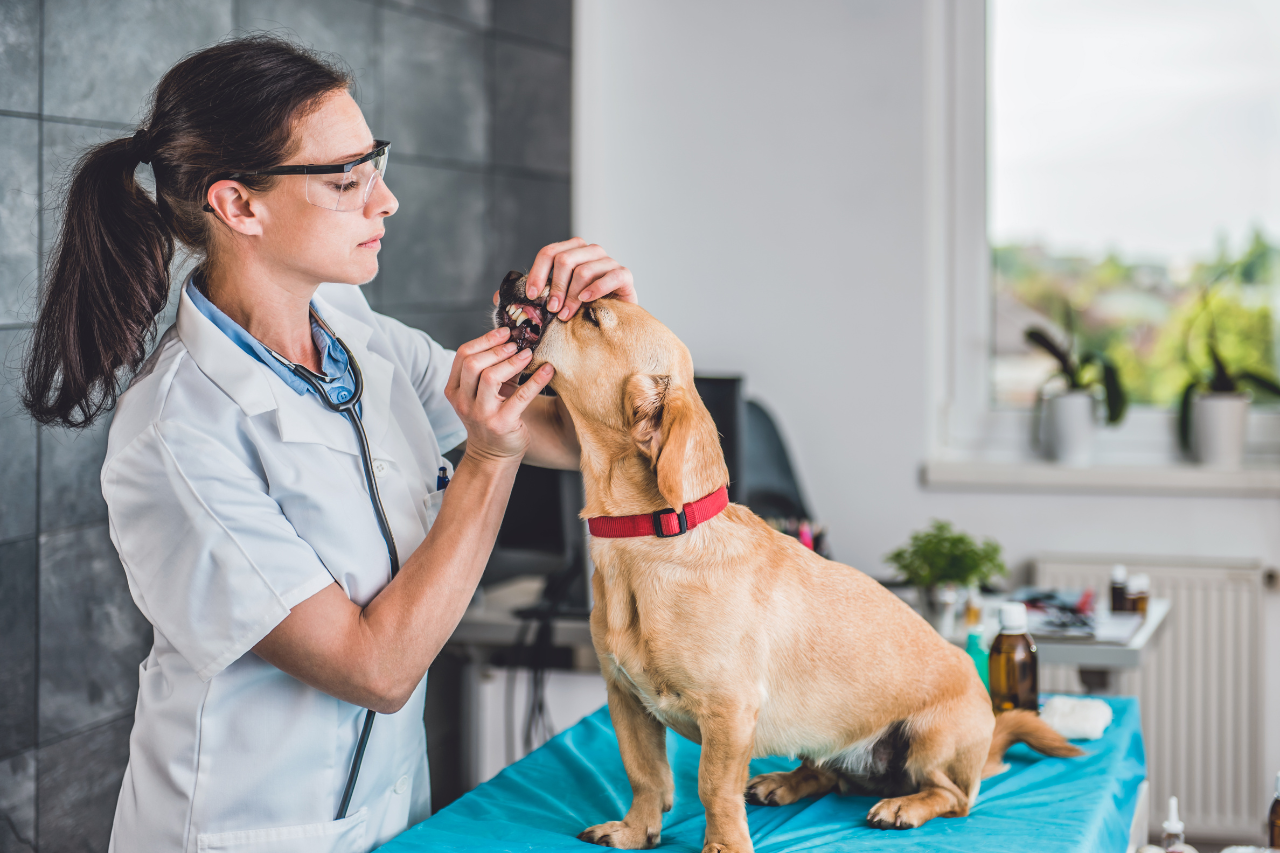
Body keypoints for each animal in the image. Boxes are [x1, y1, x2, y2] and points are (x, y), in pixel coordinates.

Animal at [491, 274, 1080, 850]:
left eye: (592, 313)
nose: (515, 276)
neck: (648, 539)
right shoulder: (625, 701)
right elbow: (647, 776)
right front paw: (636, 832)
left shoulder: (728, 713)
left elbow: (712, 791)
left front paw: (723, 847)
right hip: (824, 735)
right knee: (829, 773)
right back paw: (785, 782)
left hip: (931, 741)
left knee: (951, 797)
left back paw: (903, 806)